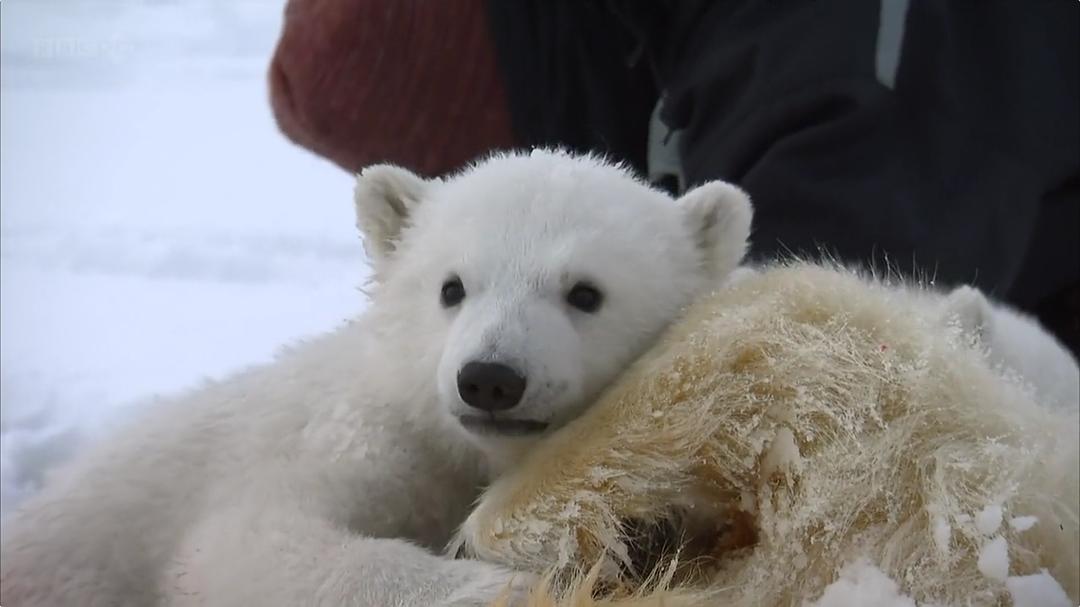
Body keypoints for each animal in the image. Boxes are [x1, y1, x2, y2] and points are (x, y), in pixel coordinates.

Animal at [0, 149, 754, 607]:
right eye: (452, 287)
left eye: (586, 292)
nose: (489, 378)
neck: (457, 448)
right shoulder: (352, 436)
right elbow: (248, 543)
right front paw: (509, 584)